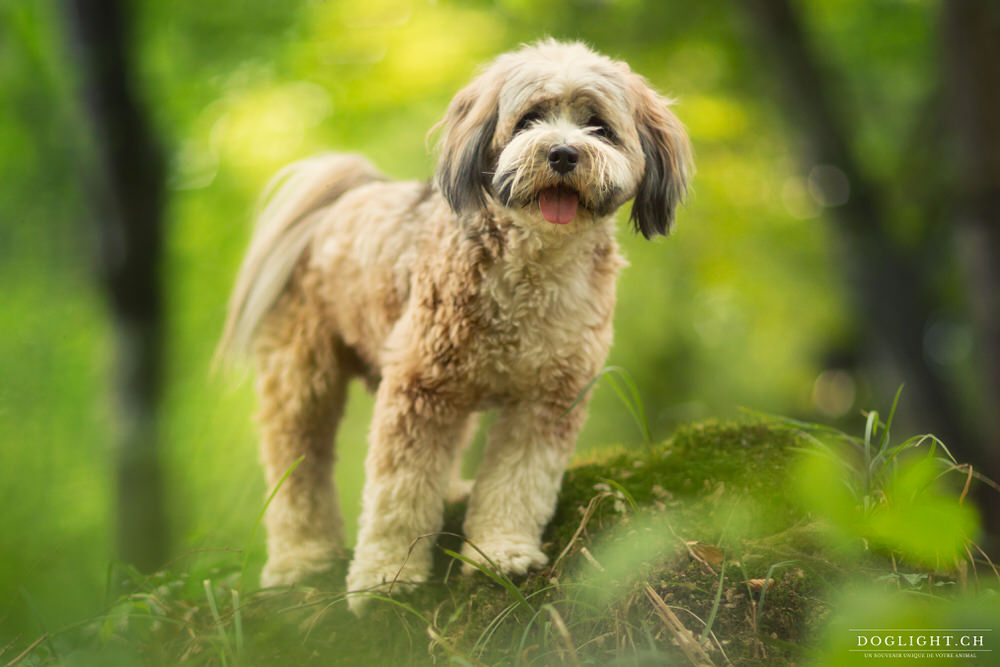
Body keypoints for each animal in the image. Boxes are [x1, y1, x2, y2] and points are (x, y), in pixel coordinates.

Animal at [218, 37, 688, 612]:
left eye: (599, 126)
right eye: (528, 119)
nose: (562, 153)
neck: (535, 268)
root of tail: (339, 200)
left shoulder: (548, 399)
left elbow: (517, 483)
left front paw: (500, 553)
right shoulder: (419, 389)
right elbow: (398, 495)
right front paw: (386, 578)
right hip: (304, 376)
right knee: (297, 462)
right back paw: (299, 559)